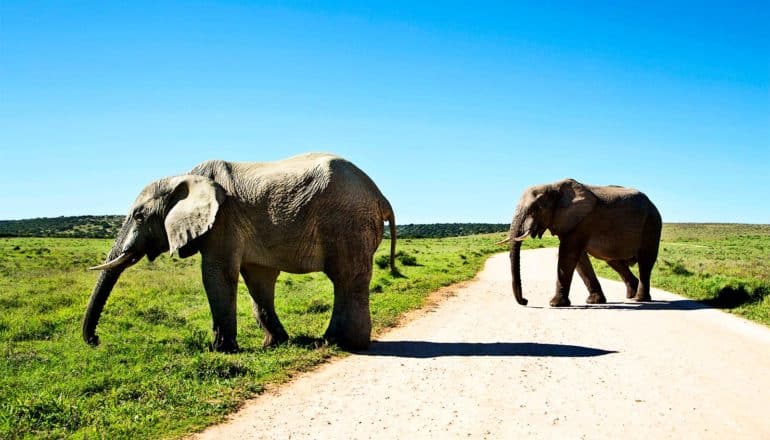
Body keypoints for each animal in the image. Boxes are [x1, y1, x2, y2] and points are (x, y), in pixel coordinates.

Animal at [84, 153, 396, 352]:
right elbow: (258, 281)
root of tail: (380, 196)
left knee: (346, 279)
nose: (96, 341)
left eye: (138, 216)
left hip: (347, 222)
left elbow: (217, 275)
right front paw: (274, 344)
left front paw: (220, 350)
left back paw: (339, 344)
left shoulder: (223, 222)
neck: (183, 177)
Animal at [498, 178, 660, 306]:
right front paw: (594, 302)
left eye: (535, 208)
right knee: (613, 261)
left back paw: (640, 299)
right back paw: (631, 296)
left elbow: (568, 255)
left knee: (645, 260)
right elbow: (580, 259)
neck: (553, 186)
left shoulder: (582, 220)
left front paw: (555, 304)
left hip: (651, 223)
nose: (525, 301)